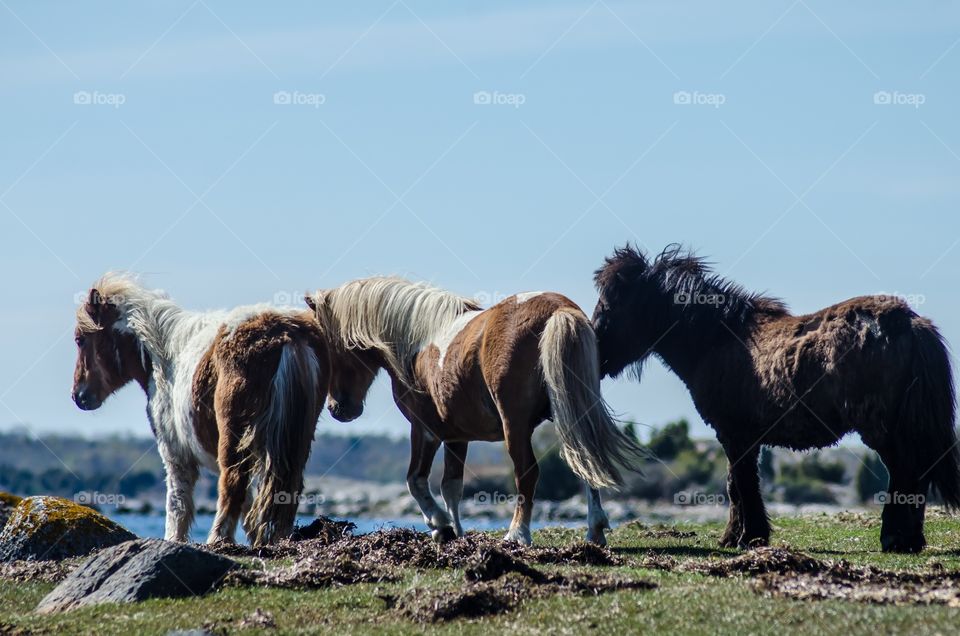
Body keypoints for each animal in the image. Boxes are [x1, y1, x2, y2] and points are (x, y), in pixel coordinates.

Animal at [71, 273, 328, 546]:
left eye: (80, 339)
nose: (78, 396)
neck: (162, 357)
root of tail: (286, 335)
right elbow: (250, 504)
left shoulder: (175, 454)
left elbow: (178, 503)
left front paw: (174, 539)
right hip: (296, 440)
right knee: (286, 487)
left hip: (234, 437)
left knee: (232, 483)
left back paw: (218, 539)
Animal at [305, 277, 644, 546]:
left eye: (331, 348)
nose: (337, 409)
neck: (416, 342)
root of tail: (557, 309)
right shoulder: (457, 436)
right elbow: (451, 486)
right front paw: (456, 531)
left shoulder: (424, 429)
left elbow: (416, 480)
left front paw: (440, 526)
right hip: (571, 413)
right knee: (585, 461)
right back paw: (594, 530)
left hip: (515, 425)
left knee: (527, 472)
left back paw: (517, 534)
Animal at [591, 245, 960, 553]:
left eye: (609, 307)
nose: (594, 356)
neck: (715, 339)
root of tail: (910, 322)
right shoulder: (743, 438)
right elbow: (739, 484)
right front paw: (739, 537)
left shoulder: (734, 435)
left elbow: (740, 485)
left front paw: (748, 538)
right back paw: (909, 540)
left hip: (883, 429)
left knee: (905, 472)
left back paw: (896, 539)